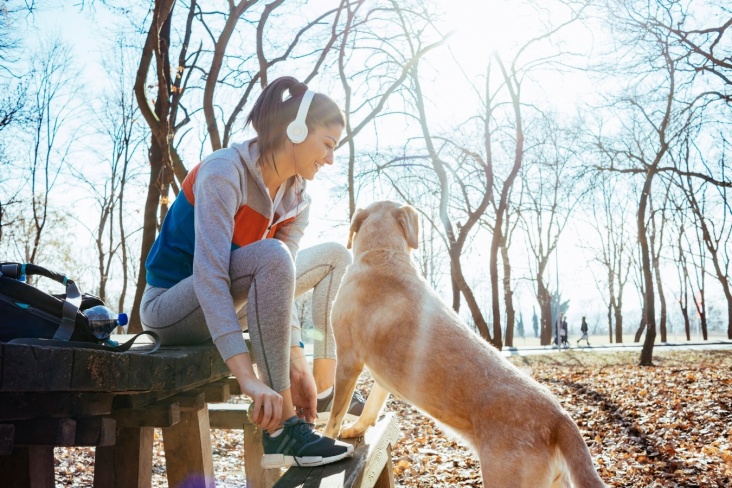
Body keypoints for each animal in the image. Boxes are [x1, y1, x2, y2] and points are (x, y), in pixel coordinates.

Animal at [324, 200, 608, 486]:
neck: (382, 253)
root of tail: (560, 418)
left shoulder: (347, 359)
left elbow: (336, 413)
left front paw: (327, 440)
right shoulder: (381, 379)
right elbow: (370, 408)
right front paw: (356, 429)